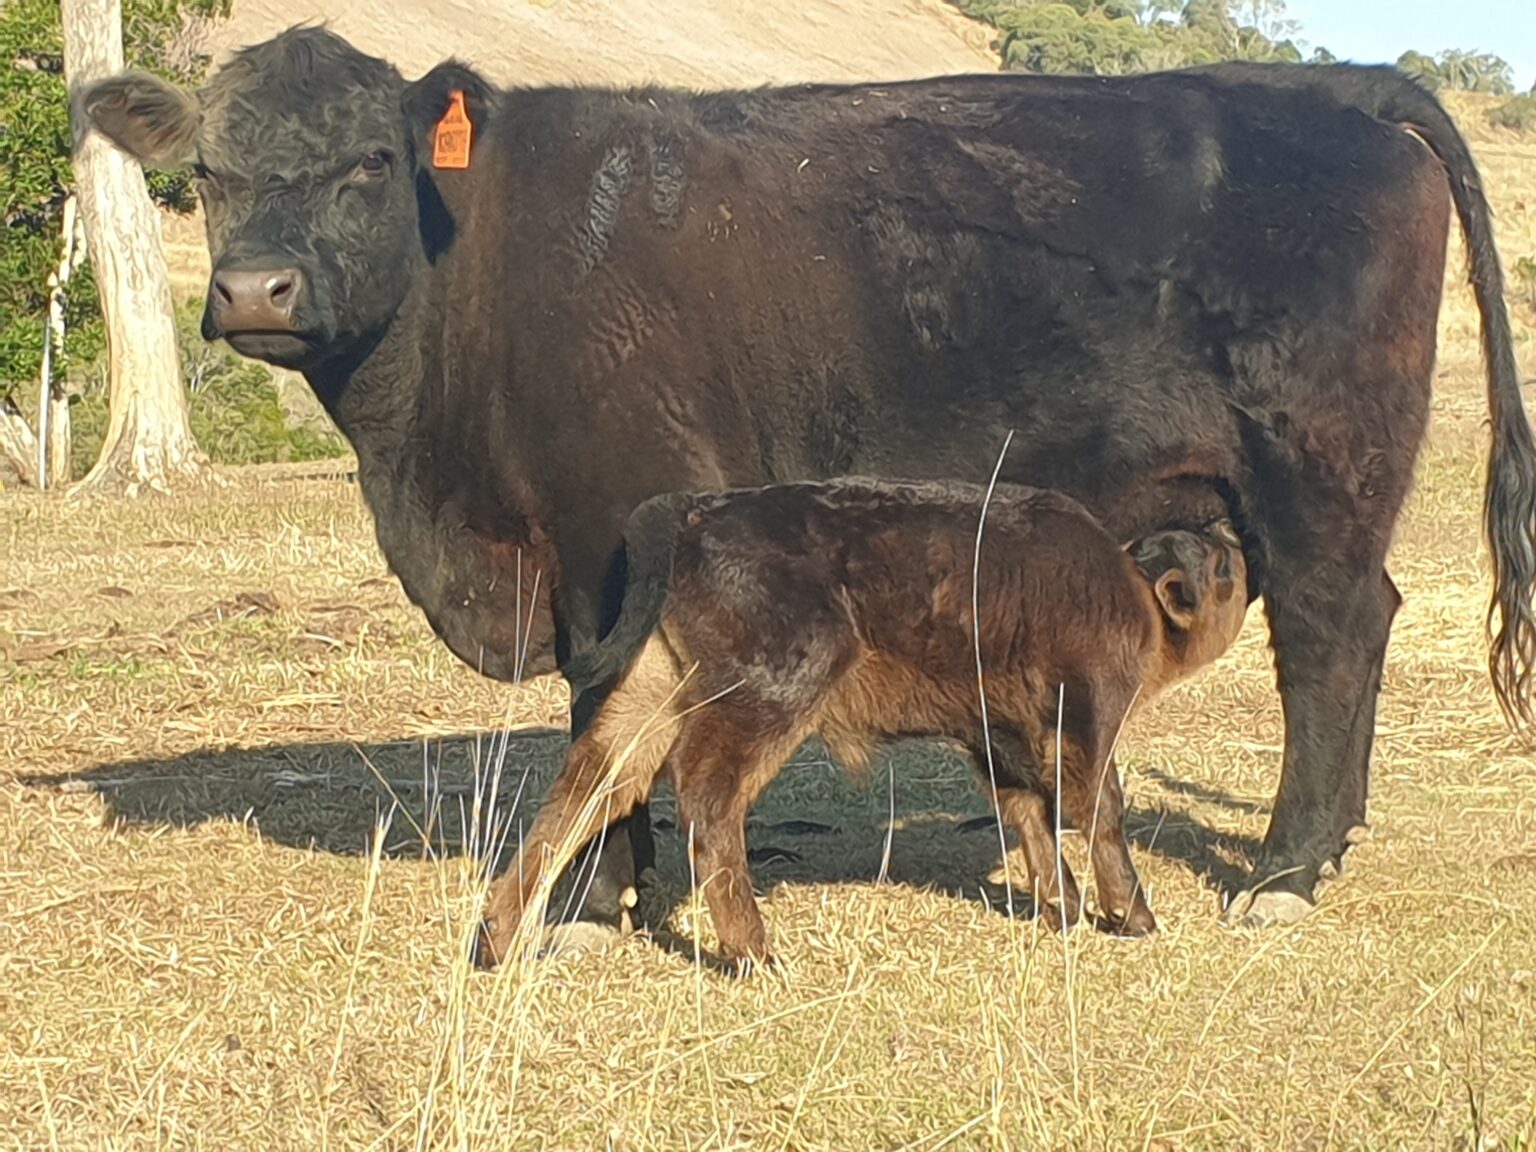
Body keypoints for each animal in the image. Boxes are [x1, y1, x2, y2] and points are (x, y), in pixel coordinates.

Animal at [478, 479, 1251, 969]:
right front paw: (1133, 917)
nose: (1227, 527)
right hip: (775, 692)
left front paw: (1061, 910)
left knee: (589, 788)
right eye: (1218, 563)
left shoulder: (998, 736)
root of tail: (695, 510)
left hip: (655, 691)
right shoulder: (1089, 711)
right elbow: (1099, 808)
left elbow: (1031, 812)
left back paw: (495, 939)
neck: (1130, 585)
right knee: (704, 795)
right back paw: (755, 952)